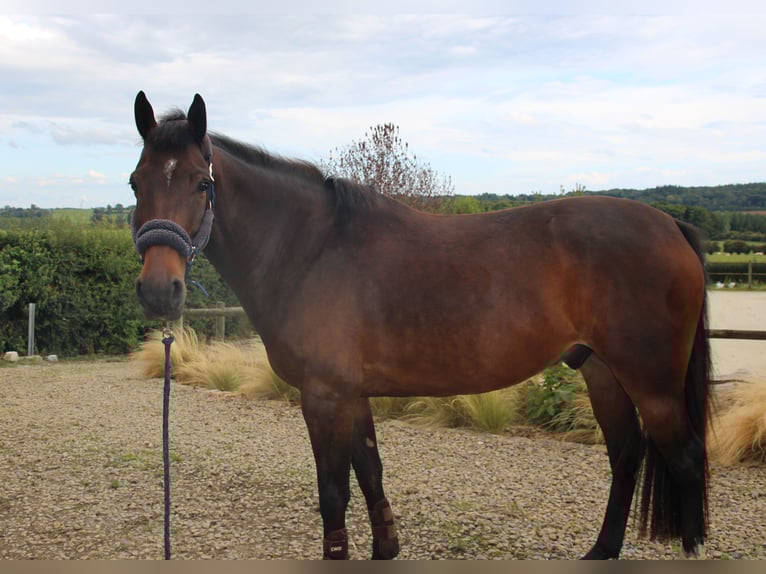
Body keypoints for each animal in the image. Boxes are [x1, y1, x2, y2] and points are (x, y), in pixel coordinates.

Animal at [129, 91, 712, 560]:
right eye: (135, 182)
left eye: (201, 183)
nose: (159, 290)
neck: (310, 248)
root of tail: (670, 224)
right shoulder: (351, 394)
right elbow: (370, 472)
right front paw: (386, 548)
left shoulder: (322, 396)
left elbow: (333, 493)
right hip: (600, 371)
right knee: (626, 454)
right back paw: (601, 550)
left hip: (652, 382)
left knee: (683, 459)